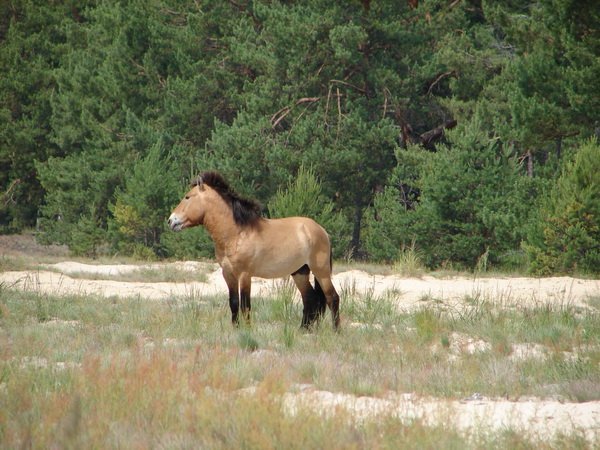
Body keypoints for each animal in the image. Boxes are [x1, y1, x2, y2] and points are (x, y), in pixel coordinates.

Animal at [166, 171, 340, 328]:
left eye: (188, 197)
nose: (171, 221)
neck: (237, 233)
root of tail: (321, 231)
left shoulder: (245, 275)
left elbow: (245, 304)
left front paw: (248, 330)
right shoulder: (228, 274)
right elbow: (234, 303)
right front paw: (235, 328)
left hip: (321, 271)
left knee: (332, 298)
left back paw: (335, 330)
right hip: (300, 272)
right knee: (310, 299)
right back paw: (303, 330)